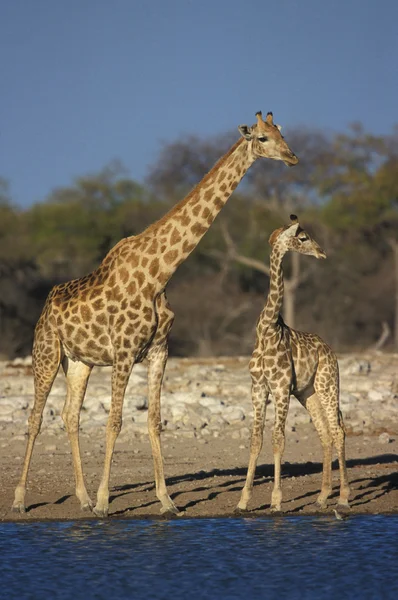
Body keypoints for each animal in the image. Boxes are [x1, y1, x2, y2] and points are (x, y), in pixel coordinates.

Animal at [11, 110, 298, 516]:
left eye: (282, 134)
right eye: (262, 138)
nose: (292, 158)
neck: (159, 275)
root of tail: (46, 305)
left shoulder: (160, 351)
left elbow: (154, 421)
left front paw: (166, 500)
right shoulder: (124, 352)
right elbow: (115, 422)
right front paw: (105, 502)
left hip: (79, 362)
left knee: (69, 415)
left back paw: (81, 498)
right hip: (47, 353)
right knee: (36, 418)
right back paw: (22, 499)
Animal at [238, 213, 350, 512]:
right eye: (303, 237)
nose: (321, 252)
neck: (266, 329)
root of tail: (331, 351)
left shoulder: (279, 389)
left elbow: (279, 439)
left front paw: (276, 500)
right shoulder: (258, 388)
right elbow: (256, 440)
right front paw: (243, 500)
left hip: (328, 385)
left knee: (338, 430)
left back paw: (344, 497)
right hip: (307, 392)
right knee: (325, 432)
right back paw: (322, 496)